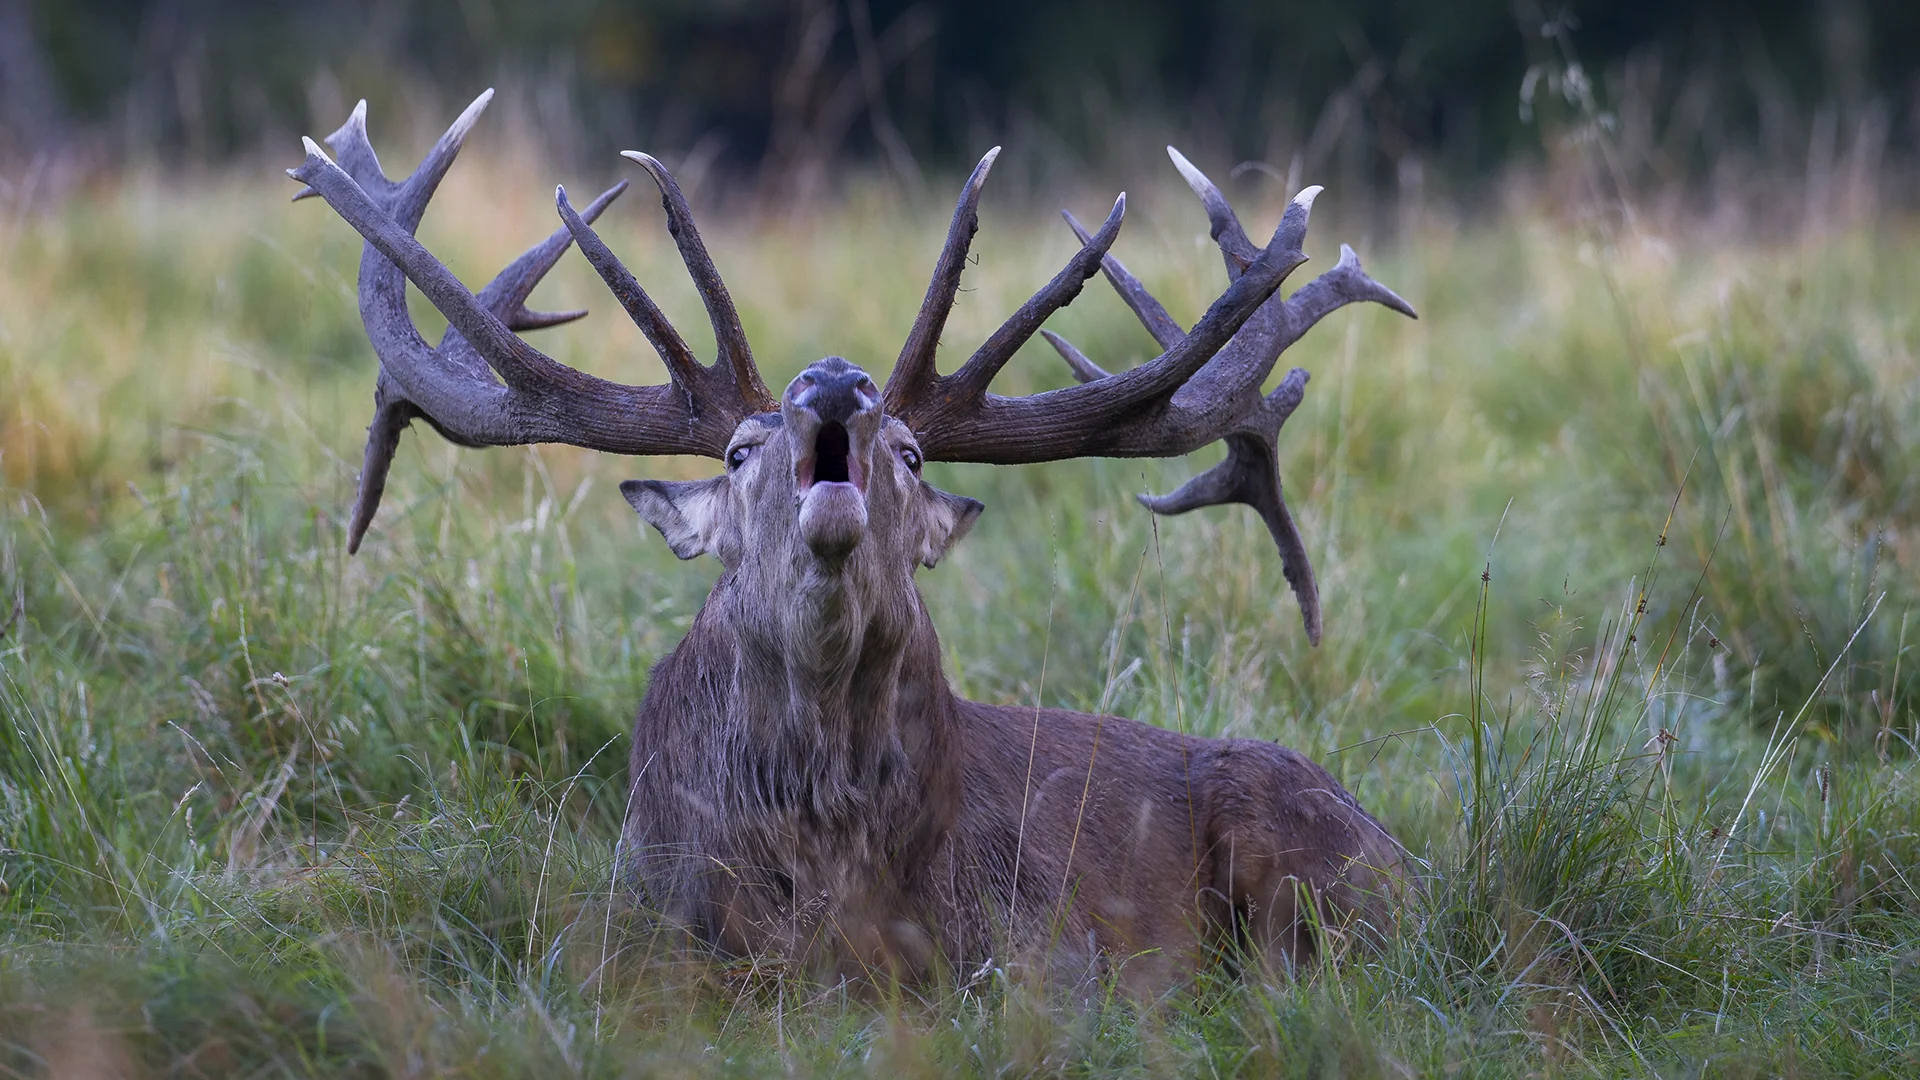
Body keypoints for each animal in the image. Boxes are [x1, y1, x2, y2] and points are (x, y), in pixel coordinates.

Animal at [289, 90, 1416, 988]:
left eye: (912, 453)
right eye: (739, 448)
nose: (835, 383)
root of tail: (1414, 862)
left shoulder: (1045, 948)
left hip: (1314, 871)